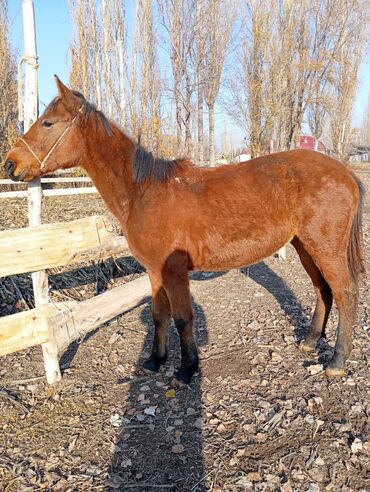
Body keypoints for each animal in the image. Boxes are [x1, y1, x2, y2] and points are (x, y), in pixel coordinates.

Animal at [4, 76, 366, 384]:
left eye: (48, 123)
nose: (10, 164)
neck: (144, 190)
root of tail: (345, 172)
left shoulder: (174, 270)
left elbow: (182, 317)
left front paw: (187, 368)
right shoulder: (154, 271)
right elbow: (159, 314)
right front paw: (155, 360)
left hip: (324, 248)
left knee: (345, 292)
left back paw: (336, 361)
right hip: (304, 246)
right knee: (323, 290)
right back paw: (310, 341)